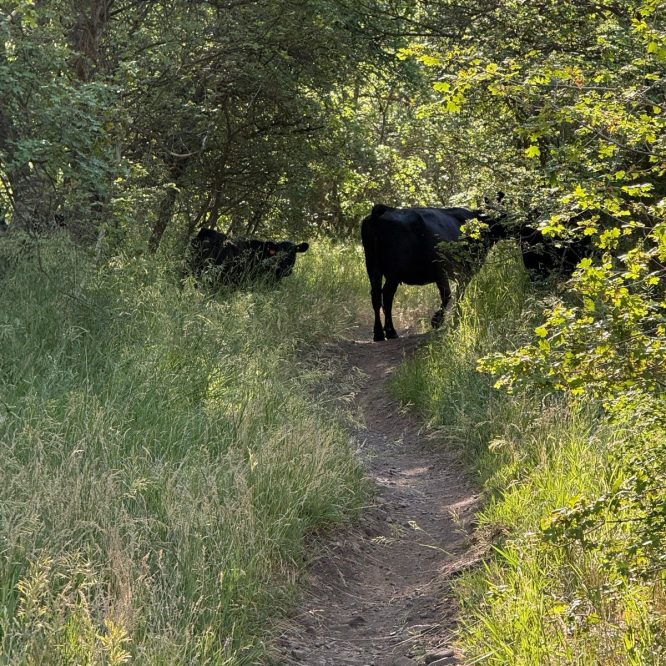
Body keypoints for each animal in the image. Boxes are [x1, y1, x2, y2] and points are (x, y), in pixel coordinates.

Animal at [361, 204, 507, 341]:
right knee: (387, 296)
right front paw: (441, 320)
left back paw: (379, 334)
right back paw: (390, 332)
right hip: (394, 272)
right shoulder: (452, 270)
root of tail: (383, 210)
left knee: (376, 296)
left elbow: (457, 294)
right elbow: (450, 294)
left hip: (373, 268)